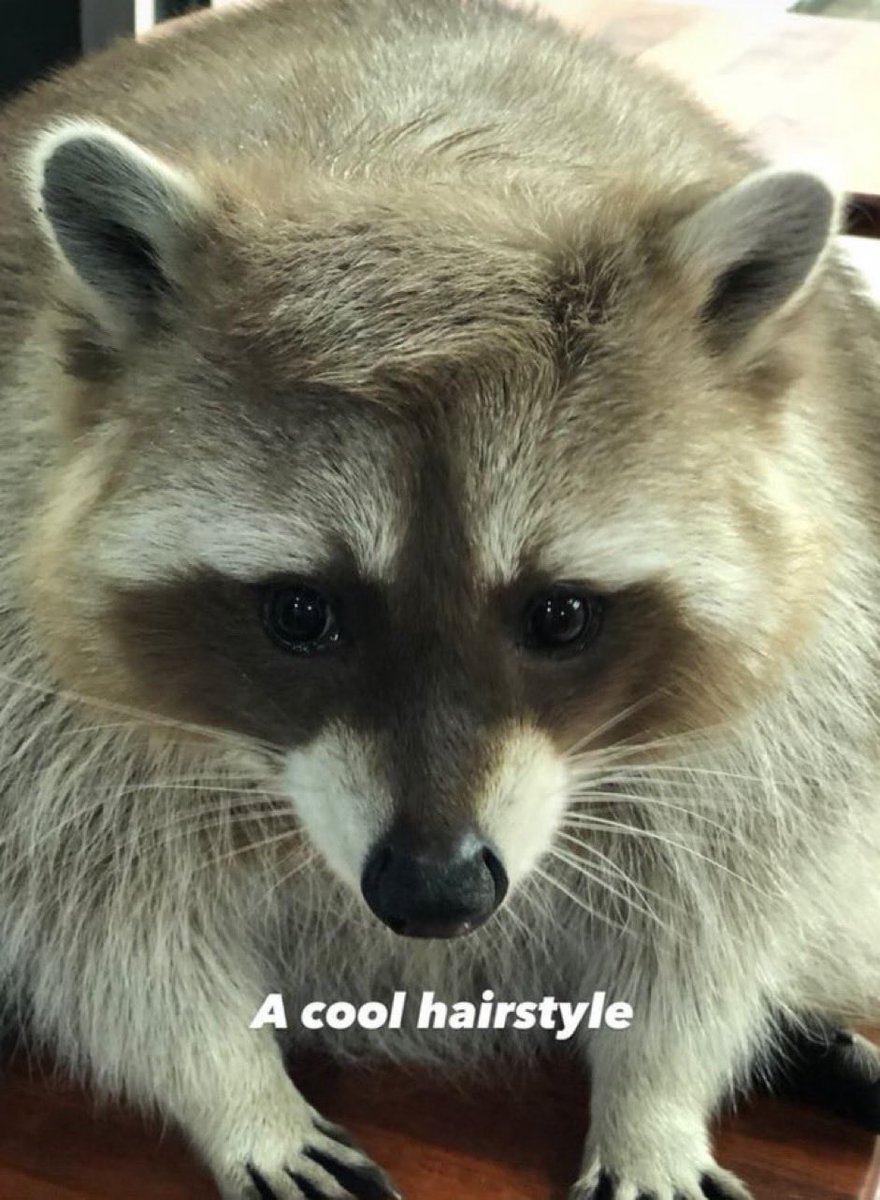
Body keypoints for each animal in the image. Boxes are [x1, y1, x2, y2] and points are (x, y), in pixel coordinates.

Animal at [0, 1, 878, 1198]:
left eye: (559, 615)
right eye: (301, 613)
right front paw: (235, 1090)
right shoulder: (40, 686)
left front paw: (654, 1099)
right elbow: (104, 930)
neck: (421, 173)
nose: (435, 893)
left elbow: (717, 905)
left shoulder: (800, 673)